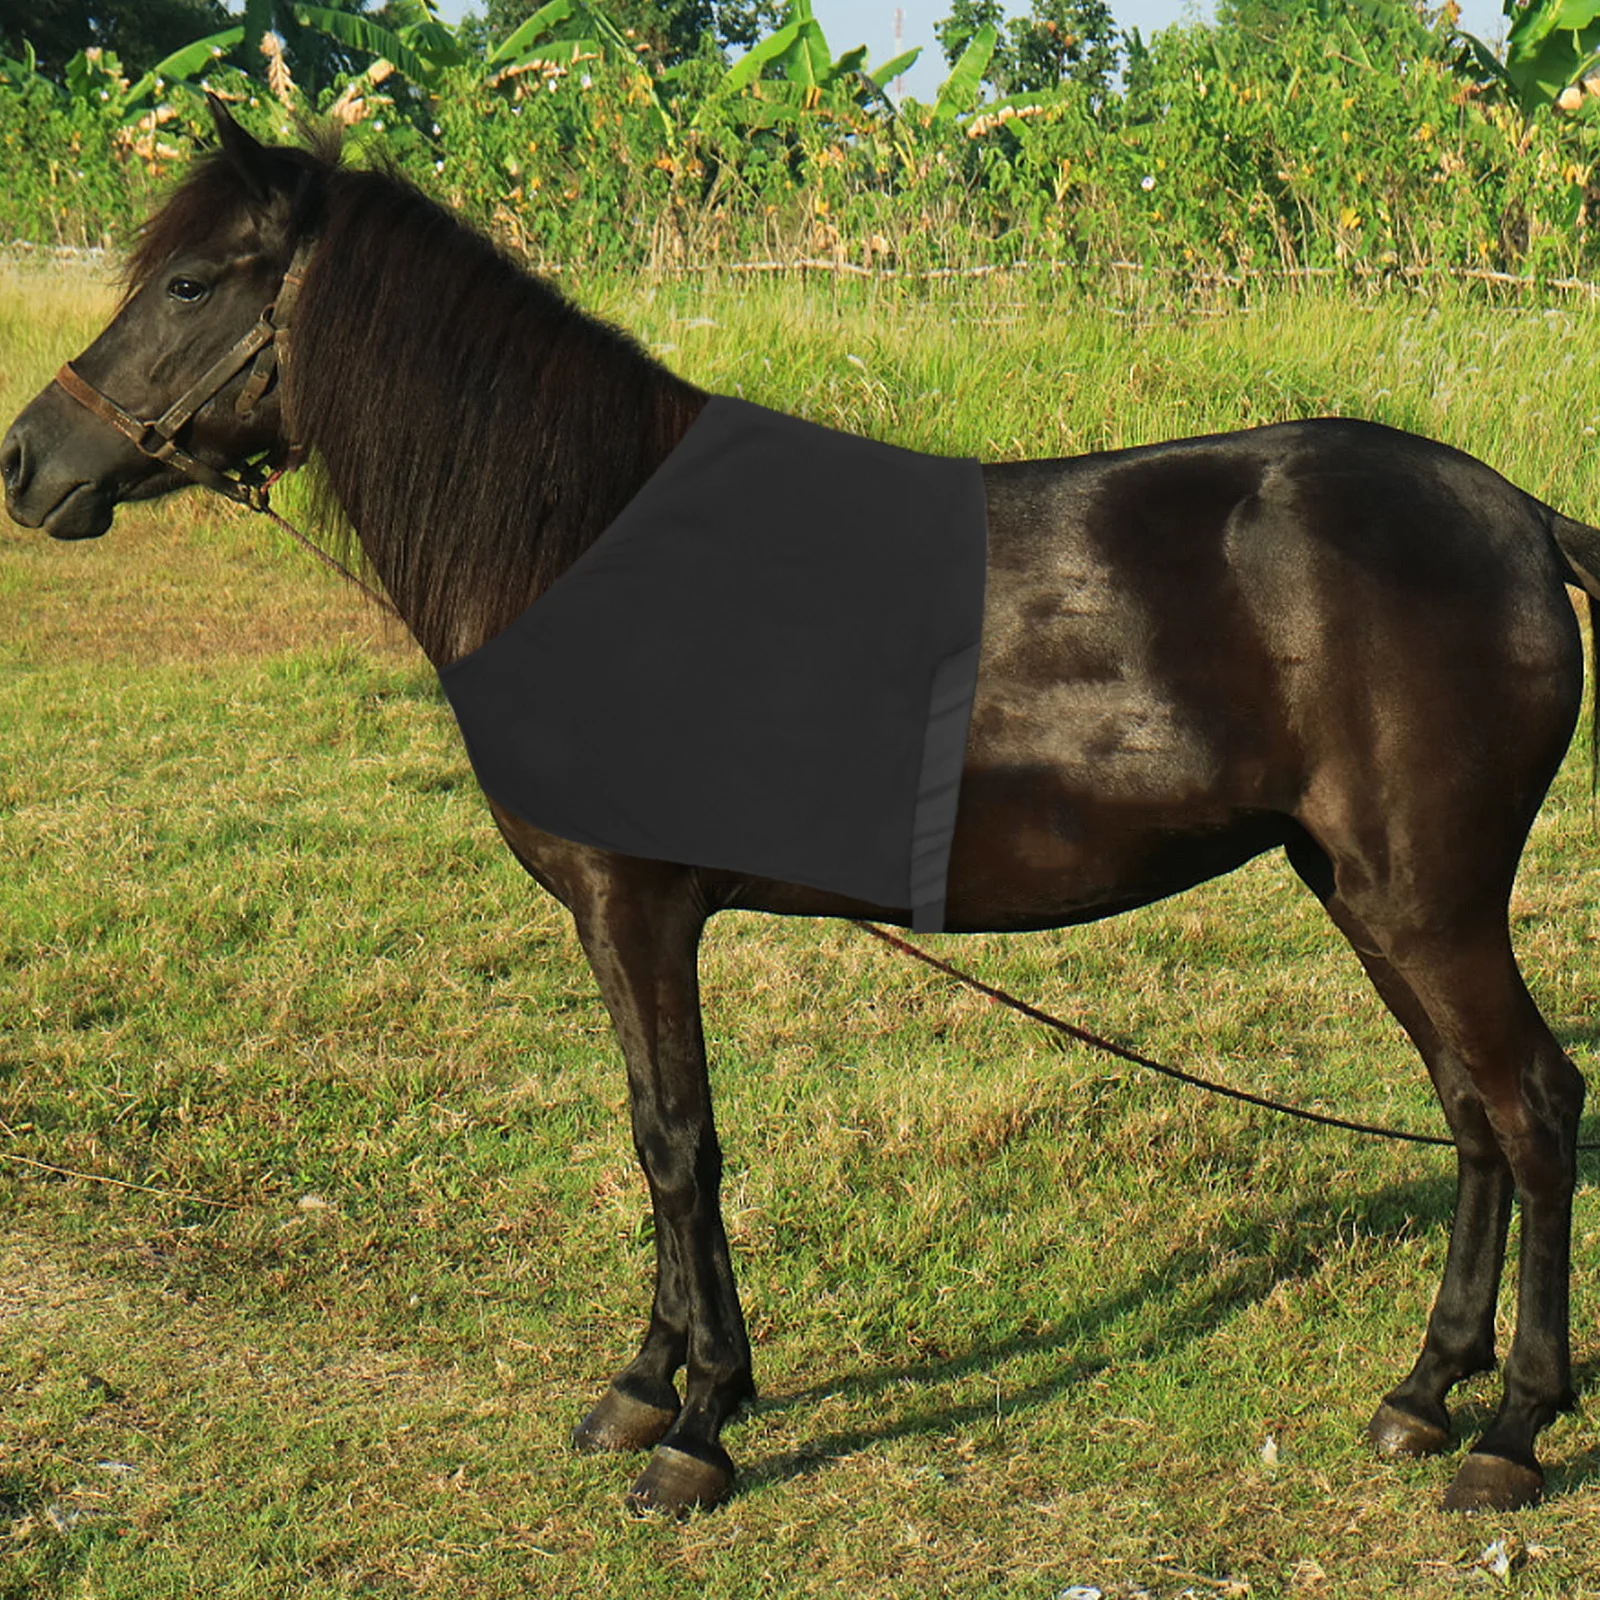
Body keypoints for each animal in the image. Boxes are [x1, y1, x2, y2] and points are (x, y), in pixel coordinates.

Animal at [3, 99, 1596, 1517]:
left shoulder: (637, 910)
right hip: (1363, 893)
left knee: (1530, 1104)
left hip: (1427, 901)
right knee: (1467, 1111)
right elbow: (653, 1133)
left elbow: (677, 1139)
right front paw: (645, 1383)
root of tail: (1521, 518)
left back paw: (1511, 1430)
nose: (27, 462)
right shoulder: (623, 923)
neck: (586, 545)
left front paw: (698, 1427)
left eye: (191, 283)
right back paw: (1422, 1392)